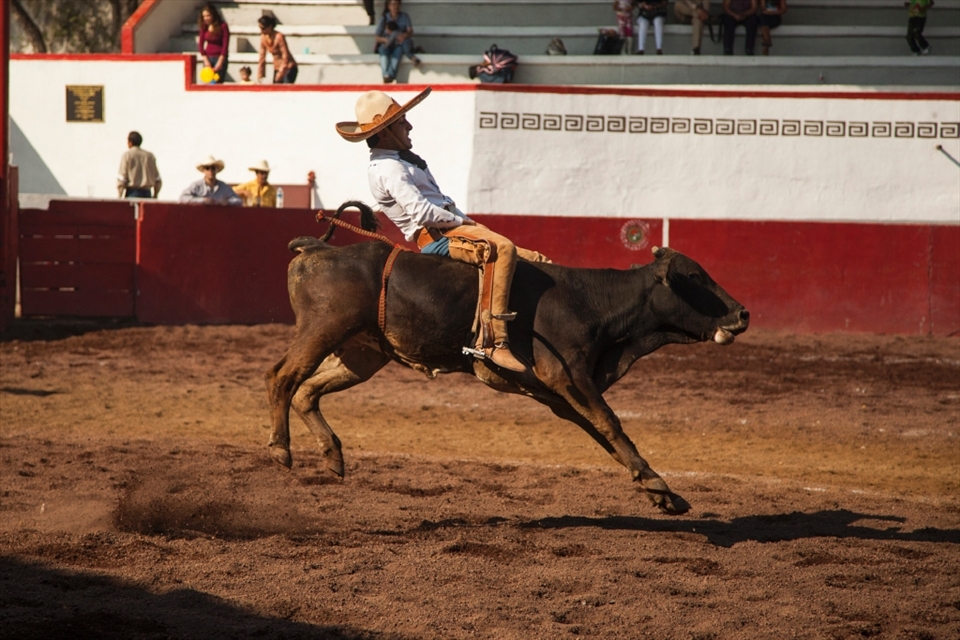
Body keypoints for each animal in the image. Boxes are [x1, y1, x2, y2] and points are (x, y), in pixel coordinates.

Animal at [265, 208, 749, 515]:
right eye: (694, 277)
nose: (742, 313)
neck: (587, 302)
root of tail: (315, 249)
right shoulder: (568, 374)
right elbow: (610, 423)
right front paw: (658, 484)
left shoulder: (555, 392)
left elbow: (599, 431)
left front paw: (658, 490)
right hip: (323, 330)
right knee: (281, 377)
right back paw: (281, 449)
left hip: (362, 352)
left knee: (307, 391)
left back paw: (332, 454)